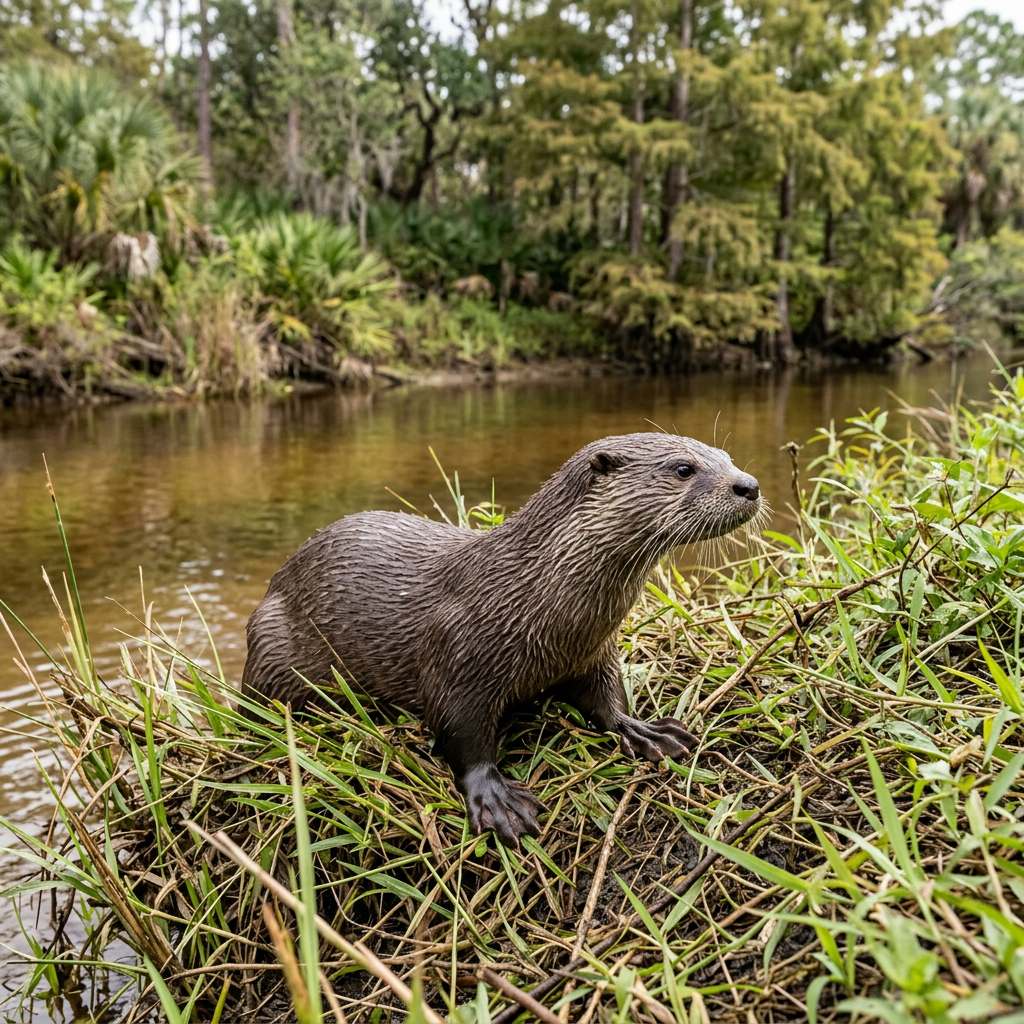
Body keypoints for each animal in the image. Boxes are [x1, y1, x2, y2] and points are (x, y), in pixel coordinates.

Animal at [241, 433, 764, 847]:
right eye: (683, 469)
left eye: (727, 455)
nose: (749, 484)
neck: (532, 597)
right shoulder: (459, 654)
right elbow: (460, 731)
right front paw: (497, 800)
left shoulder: (594, 652)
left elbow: (606, 699)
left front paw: (643, 731)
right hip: (270, 642)